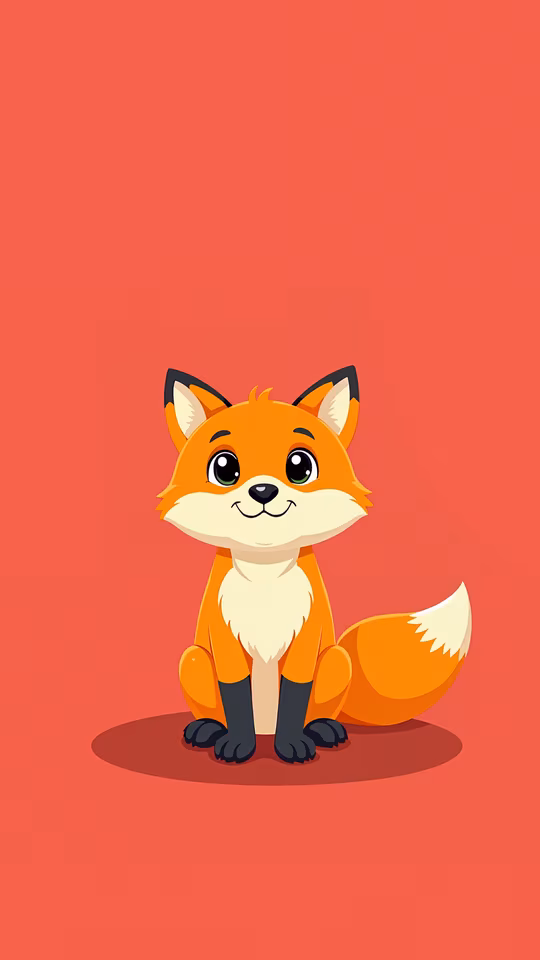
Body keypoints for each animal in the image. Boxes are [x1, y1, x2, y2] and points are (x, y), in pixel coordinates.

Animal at [158, 366, 471, 764]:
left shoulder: (307, 638)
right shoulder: (223, 639)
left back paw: (323, 729)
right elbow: (235, 695)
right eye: (224, 468)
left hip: (337, 659)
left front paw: (291, 744)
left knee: (319, 710)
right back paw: (208, 729)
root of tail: (265, 729)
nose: (263, 491)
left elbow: (295, 694)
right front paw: (238, 744)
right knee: (213, 706)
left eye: (300, 466)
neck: (265, 579)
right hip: (194, 660)